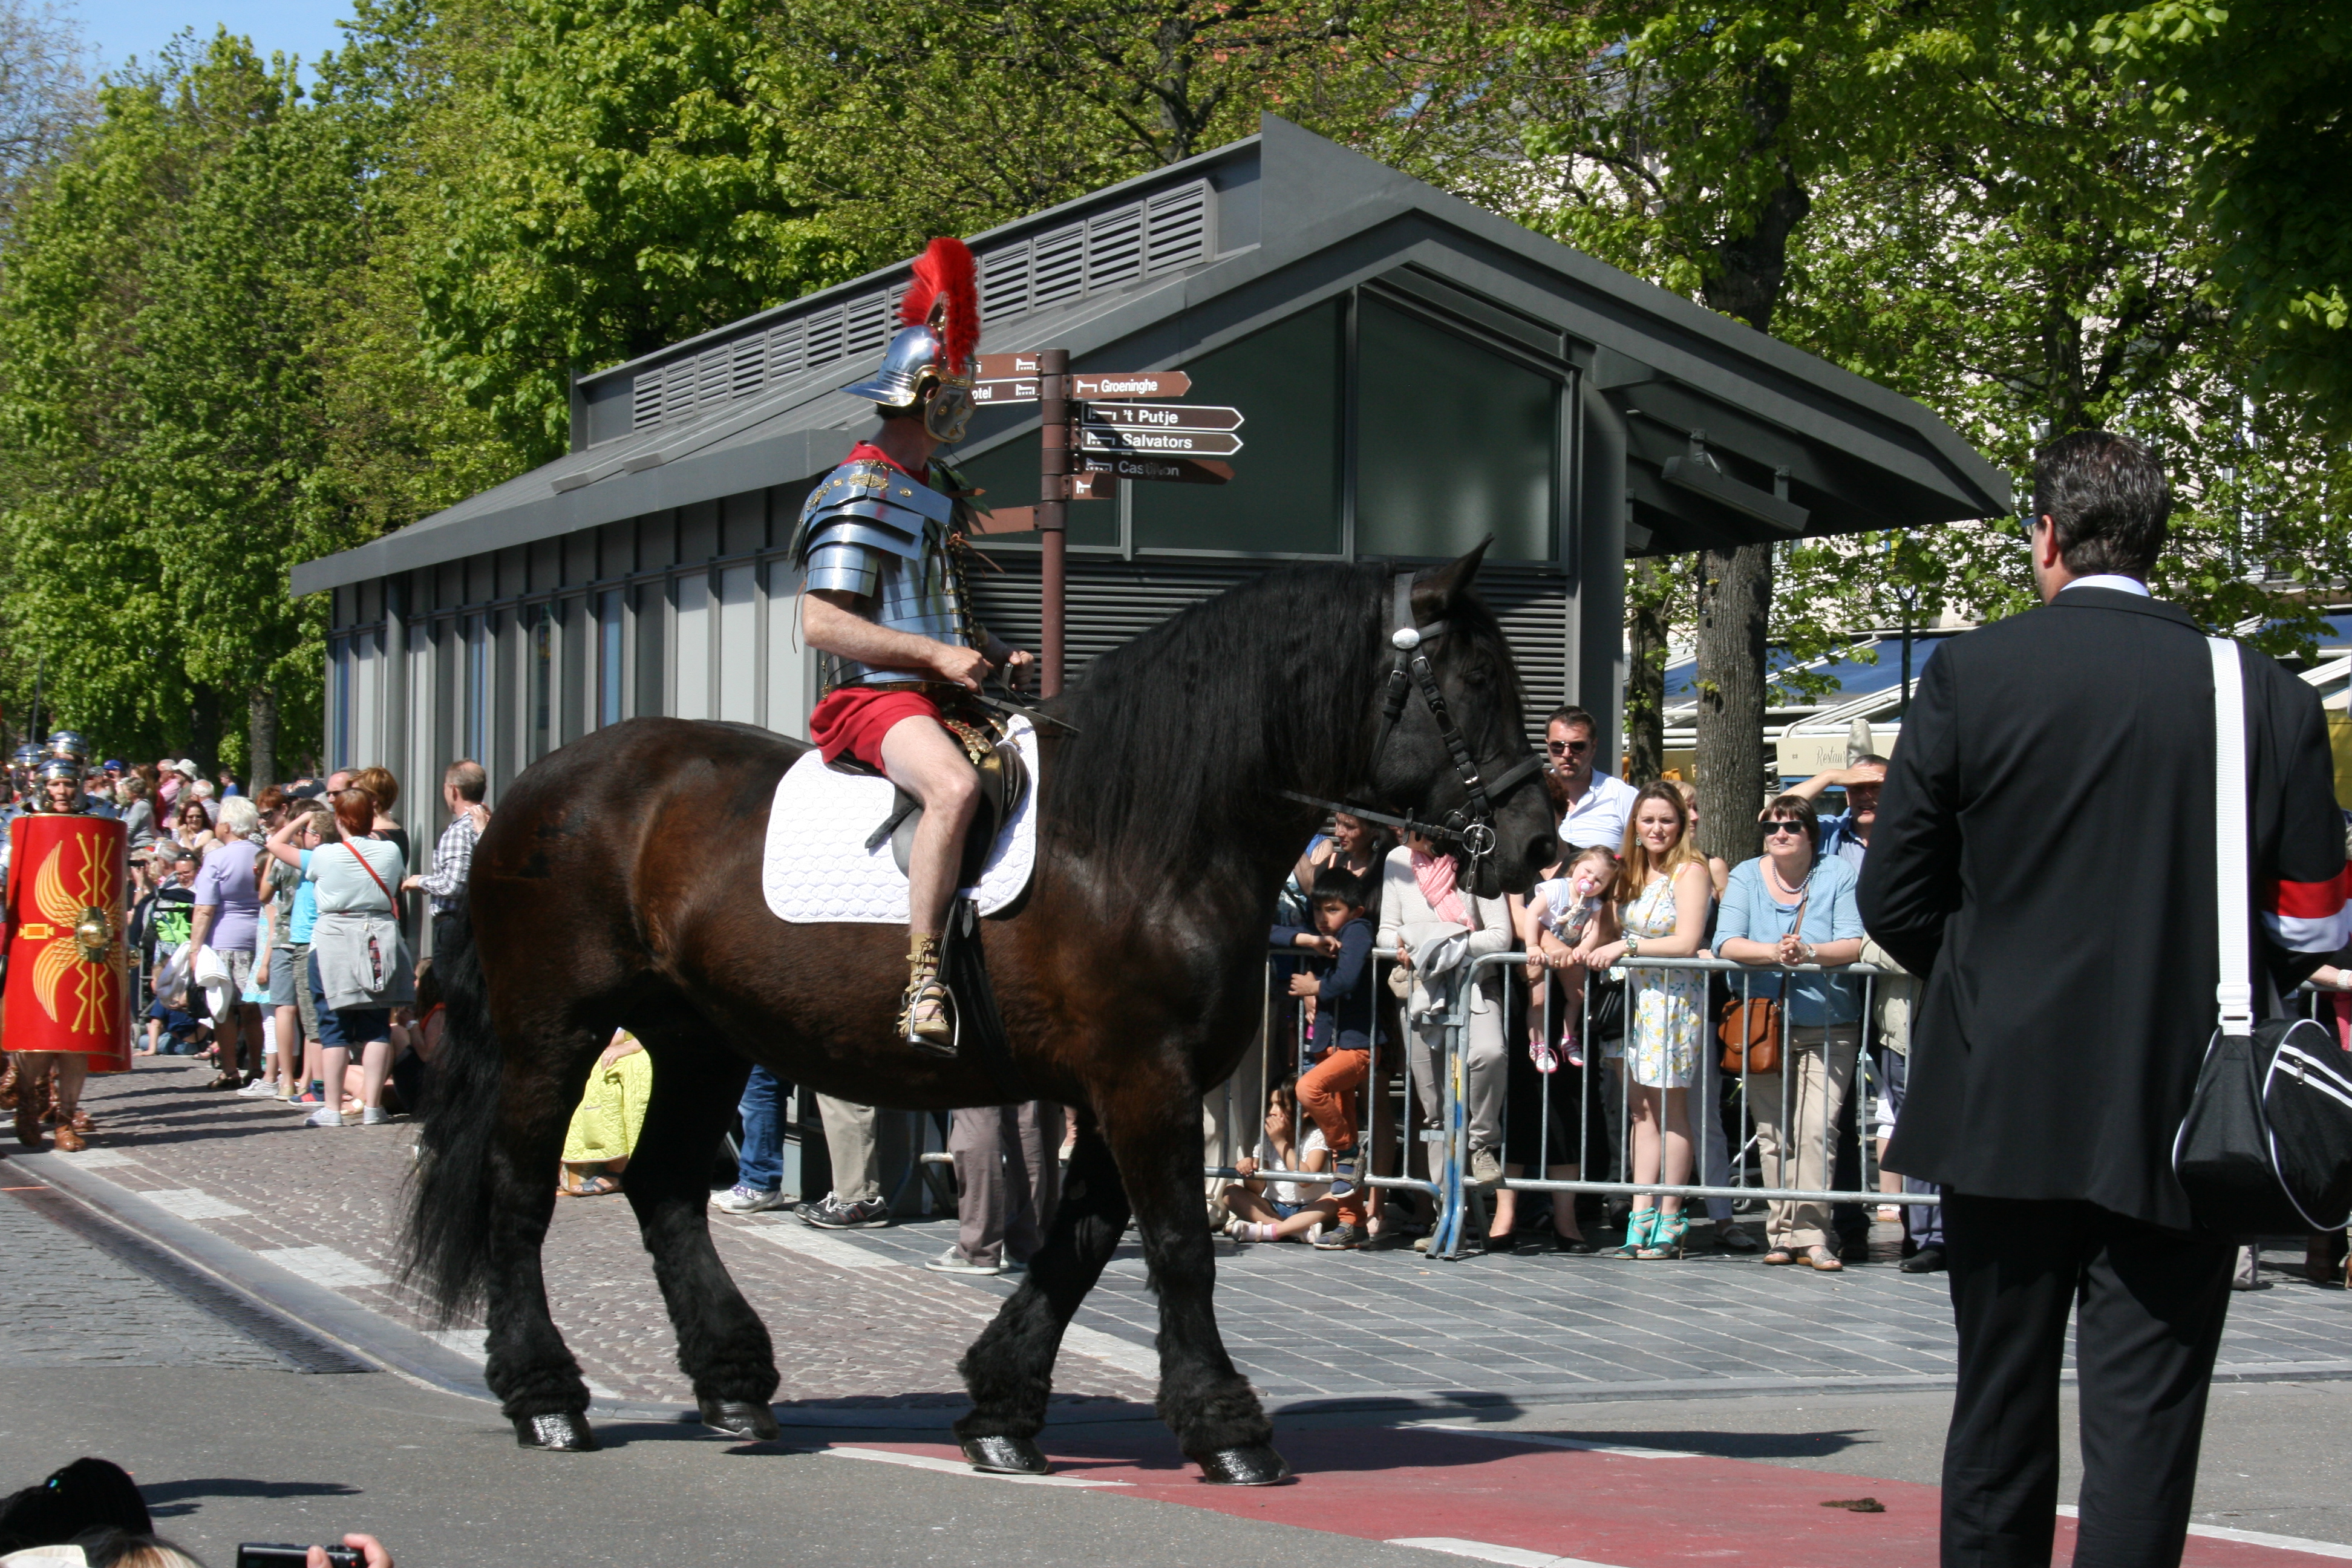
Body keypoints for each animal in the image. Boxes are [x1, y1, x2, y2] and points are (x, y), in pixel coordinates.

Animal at [402, 544, 1558, 1484]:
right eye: (1472, 684)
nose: (1538, 844)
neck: (1146, 839)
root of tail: (534, 790)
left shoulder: (1127, 1086)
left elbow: (1079, 1243)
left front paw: (1001, 1409)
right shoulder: (1142, 1080)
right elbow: (1175, 1243)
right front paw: (1228, 1429)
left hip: (701, 1039)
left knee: (666, 1188)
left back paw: (732, 1382)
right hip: (555, 1029)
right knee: (520, 1193)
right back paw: (547, 1395)